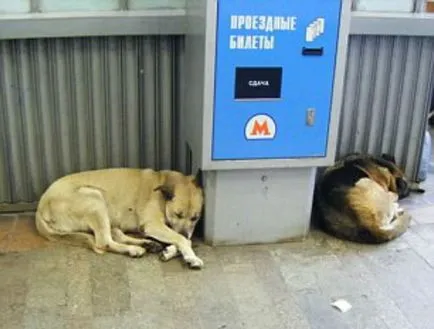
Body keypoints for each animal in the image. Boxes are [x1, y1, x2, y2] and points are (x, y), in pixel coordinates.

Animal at [35, 168, 205, 268]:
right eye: (178, 214)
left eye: (195, 218)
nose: (185, 232)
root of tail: (40, 206)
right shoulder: (153, 224)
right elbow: (183, 239)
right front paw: (191, 257)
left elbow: (184, 239)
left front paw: (170, 251)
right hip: (95, 199)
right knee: (104, 242)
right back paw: (134, 249)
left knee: (116, 235)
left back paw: (147, 244)